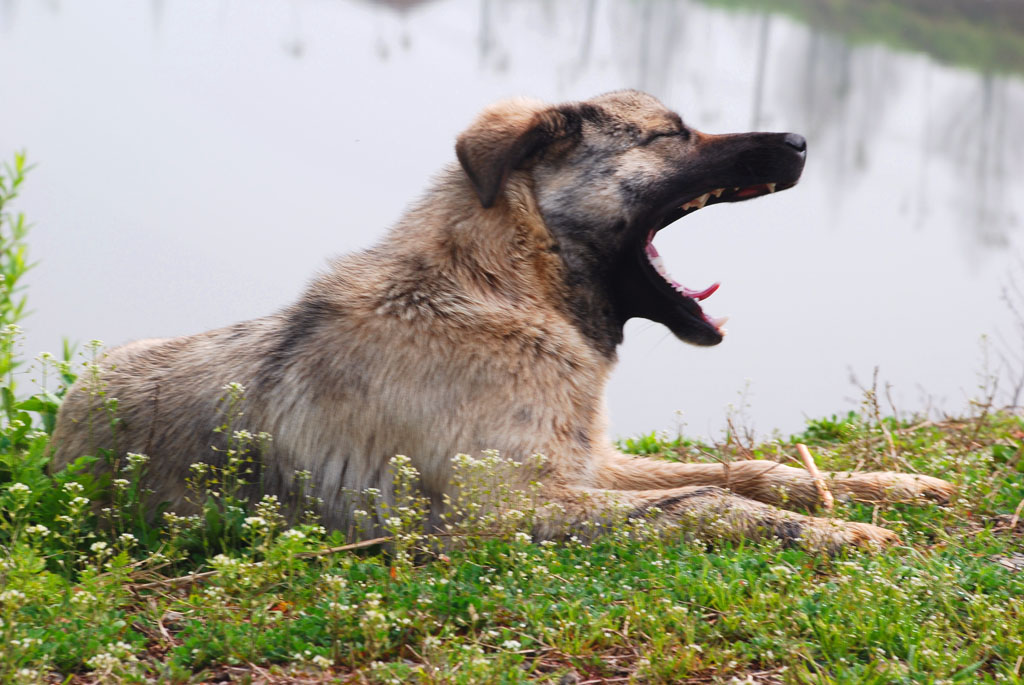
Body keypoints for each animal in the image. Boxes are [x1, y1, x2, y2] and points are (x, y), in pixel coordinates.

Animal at [51, 92, 954, 548]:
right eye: (672, 135)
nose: (799, 140)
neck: (508, 292)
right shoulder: (511, 505)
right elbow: (701, 498)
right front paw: (847, 535)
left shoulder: (587, 464)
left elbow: (748, 470)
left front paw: (886, 487)